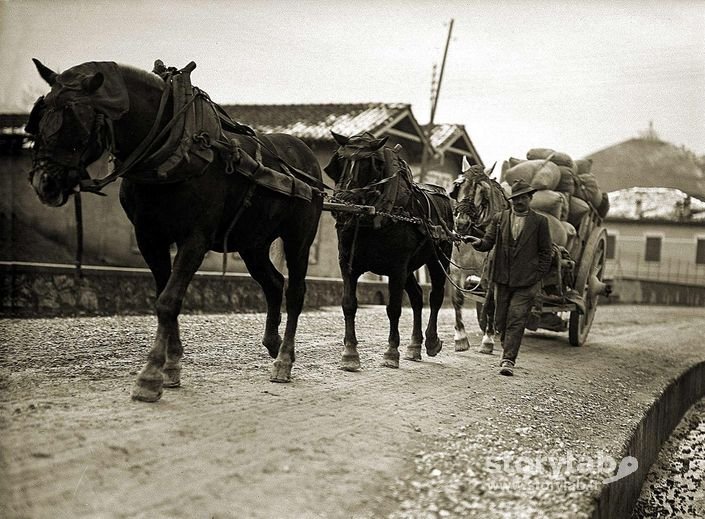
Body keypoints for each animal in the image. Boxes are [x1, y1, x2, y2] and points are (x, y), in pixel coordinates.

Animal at [24, 61, 322, 402]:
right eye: (39, 118)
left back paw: (284, 358)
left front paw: (150, 375)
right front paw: (171, 365)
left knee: (295, 292)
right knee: (273, 283)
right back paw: (273, 344)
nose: (44, 182)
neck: (172, 149)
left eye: (75, 123)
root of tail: (306, 157)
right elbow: (163, 295)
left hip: (299, 237)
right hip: (252, 243)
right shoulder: (149, 237)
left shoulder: (195, 239)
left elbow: (169, 300)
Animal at [324, 132, 454, 372]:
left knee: (436, 296)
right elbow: (348, 304)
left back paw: (431, 341)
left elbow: (393, 308)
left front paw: (391, 352)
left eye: (370, 164)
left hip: (439, 257)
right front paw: (350, 354)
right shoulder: (347, 263)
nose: (343, 203)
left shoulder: (396, 267)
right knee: (417, 296)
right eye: (341, 161)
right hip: (409, 268)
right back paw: (414, 346)